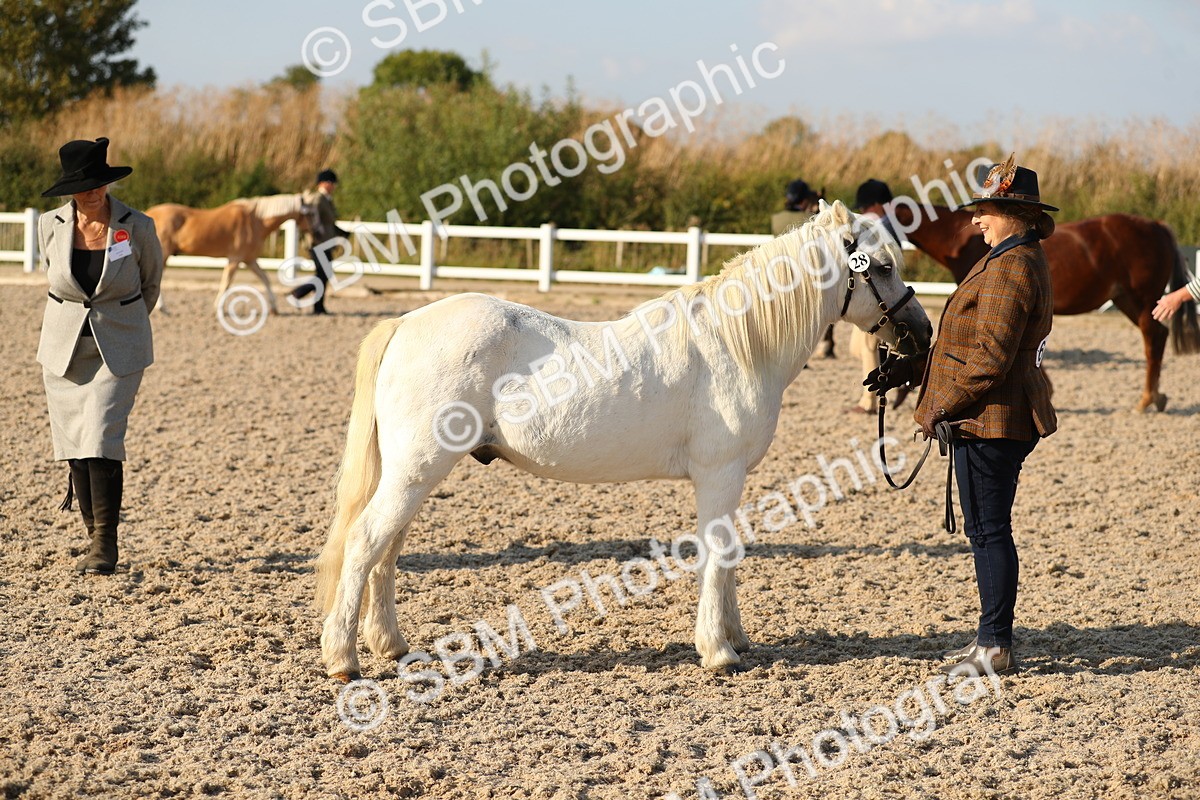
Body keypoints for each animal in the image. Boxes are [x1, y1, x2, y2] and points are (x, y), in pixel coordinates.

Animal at [145, 193, 320, 314]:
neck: (256, 221)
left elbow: (265, 279)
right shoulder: (235, 259)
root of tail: (149, 212)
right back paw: (163, 308)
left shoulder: (250, 259)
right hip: (163, 254)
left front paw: (274, 308)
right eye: (310, 214)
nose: (316, 232)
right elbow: (226, 283)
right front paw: (217, 308)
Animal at [313, 200, 933, 681]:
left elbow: (730, 553)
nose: (921, 333)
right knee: (366, 542)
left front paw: (737, 638)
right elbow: (717, 554)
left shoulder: (731, 479)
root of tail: (406, 323)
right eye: (880, 266)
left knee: (387, 549)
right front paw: (718, 651)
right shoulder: (719, 473)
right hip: (417, 470)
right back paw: (343, 659)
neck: (739, 343)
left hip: (414, 473)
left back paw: (390, 646)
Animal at [892, 204, 1200, 412]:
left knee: (1154, 339)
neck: (965, 239)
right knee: (1158, 336)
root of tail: (1156, 225)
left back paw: (1147, 400)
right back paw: (1157, 398)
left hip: (1143, 300)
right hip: (1127, 301)